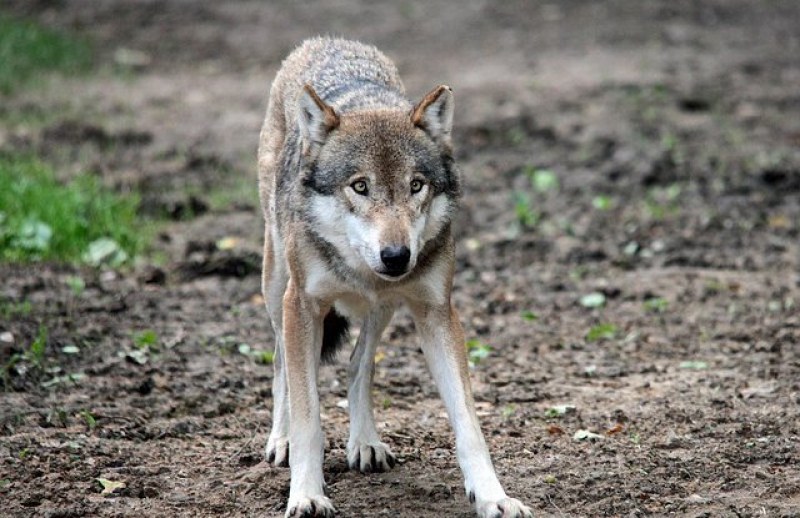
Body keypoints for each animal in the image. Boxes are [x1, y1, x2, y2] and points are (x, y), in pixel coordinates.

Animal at [258, 37, 532, 518]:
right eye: (360, 186)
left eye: (416, 185)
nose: (397, 256)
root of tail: (326, 40)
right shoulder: (303, 305)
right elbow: (309, 415)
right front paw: (307, 495)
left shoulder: (437, 312)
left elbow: (469, 423)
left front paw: (493, 497)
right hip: (276, 288)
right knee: (281, 365)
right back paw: (282, 440)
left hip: (383, 309)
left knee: (359, 365)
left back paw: (365, 443)